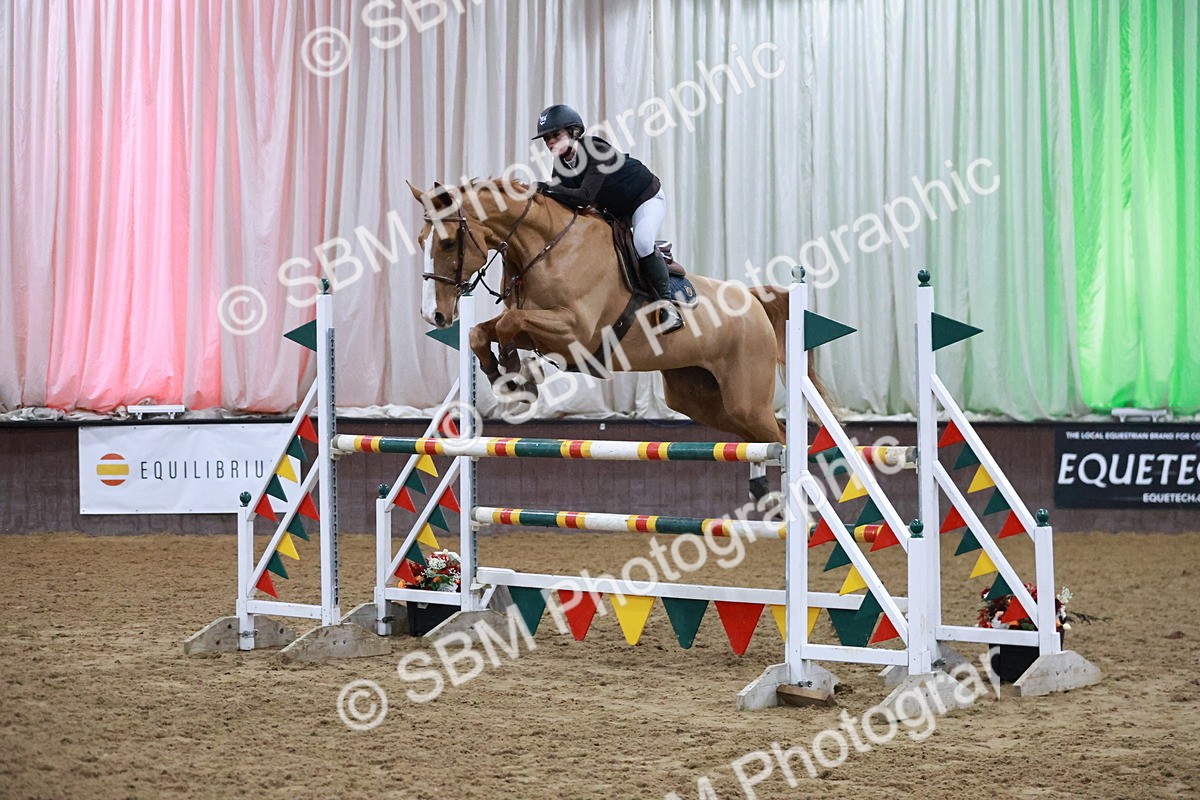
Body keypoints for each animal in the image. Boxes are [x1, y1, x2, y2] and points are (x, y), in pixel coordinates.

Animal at [409, 178, 829, 507]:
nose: (434, 316)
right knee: (755, 438)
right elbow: (485, 331)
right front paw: (508, 376)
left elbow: (510, 323)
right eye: (420, 240)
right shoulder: (542, 326)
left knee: (779, 438)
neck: (547, 249)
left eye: (448, 243)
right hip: (700, 399)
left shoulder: (575, 332)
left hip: (745, 398)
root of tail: (754, 301)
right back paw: (763, 492)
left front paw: (516, 374)